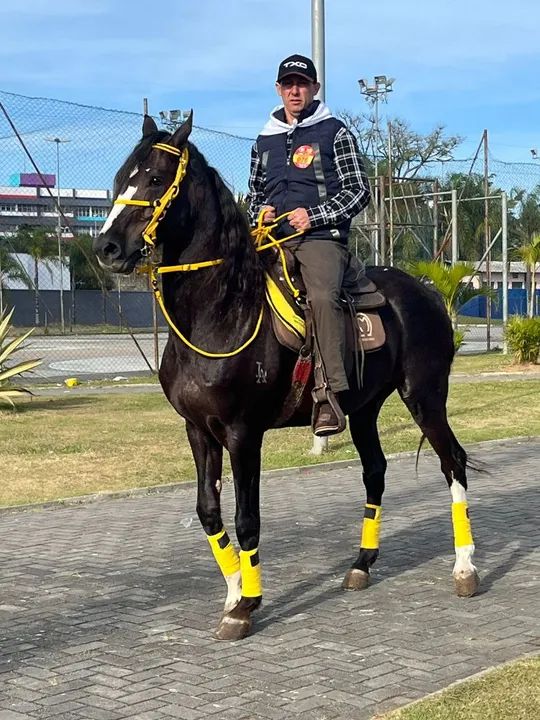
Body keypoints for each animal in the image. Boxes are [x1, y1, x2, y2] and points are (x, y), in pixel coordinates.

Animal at [94, 113, 479, 641]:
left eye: (154, 178)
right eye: (118, 178)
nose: (107, 247)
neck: (222, 311)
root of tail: (425, 292)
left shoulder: (243, 433)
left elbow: (247, 518)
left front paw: (246, 606)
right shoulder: (198, 431)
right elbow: (208, 512)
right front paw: (233, 593)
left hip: (424, 396)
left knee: (453, 462)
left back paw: (465, 568)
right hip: (364, 409)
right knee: (375, 472)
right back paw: (361, 564)